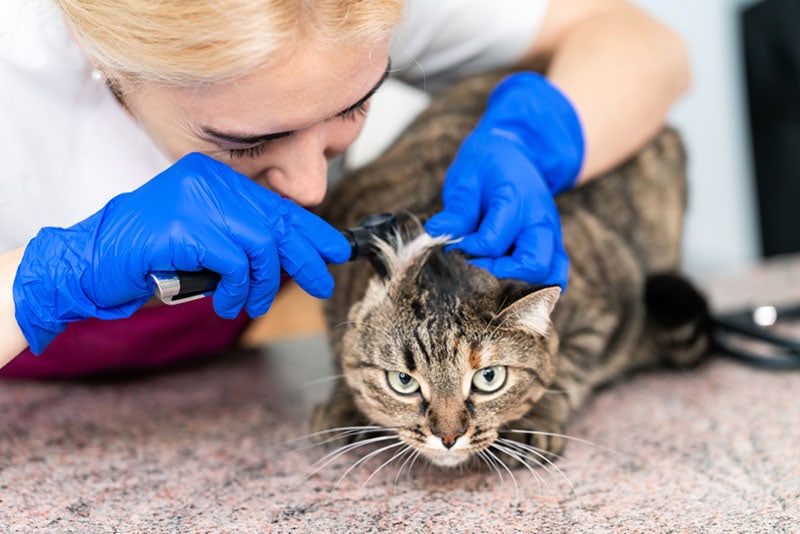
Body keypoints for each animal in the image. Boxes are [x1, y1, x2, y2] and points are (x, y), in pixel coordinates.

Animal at [310, 69, 708, 472]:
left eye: (489, 378)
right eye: (403, 381)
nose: (448, 437)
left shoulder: (610, 301)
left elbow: (566, 367)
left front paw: (536, 420)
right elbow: (344, 346)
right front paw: (344, 404)